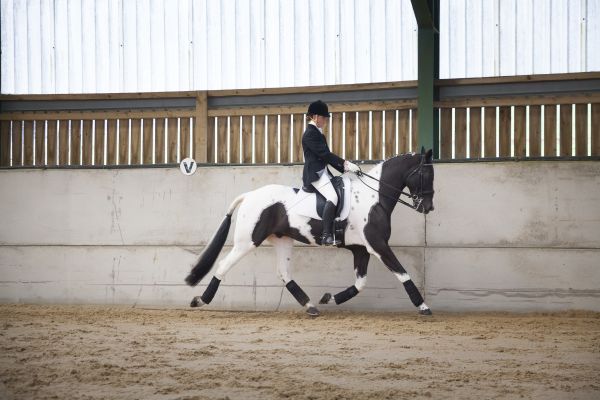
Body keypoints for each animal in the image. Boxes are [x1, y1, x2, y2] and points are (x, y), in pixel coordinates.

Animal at [185, 148, 434, 318]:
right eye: (425, 174)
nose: (427, 207)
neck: (373, 199)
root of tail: (249, 195)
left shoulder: (361, 249)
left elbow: (360, 284)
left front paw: (329, 298)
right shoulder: (378, 245)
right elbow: (403, 274)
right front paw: (423, 307)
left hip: (282, 240)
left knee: (284, 273)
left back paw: (311, 306)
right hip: (247, 241)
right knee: (223, 266)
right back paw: (200, 301)